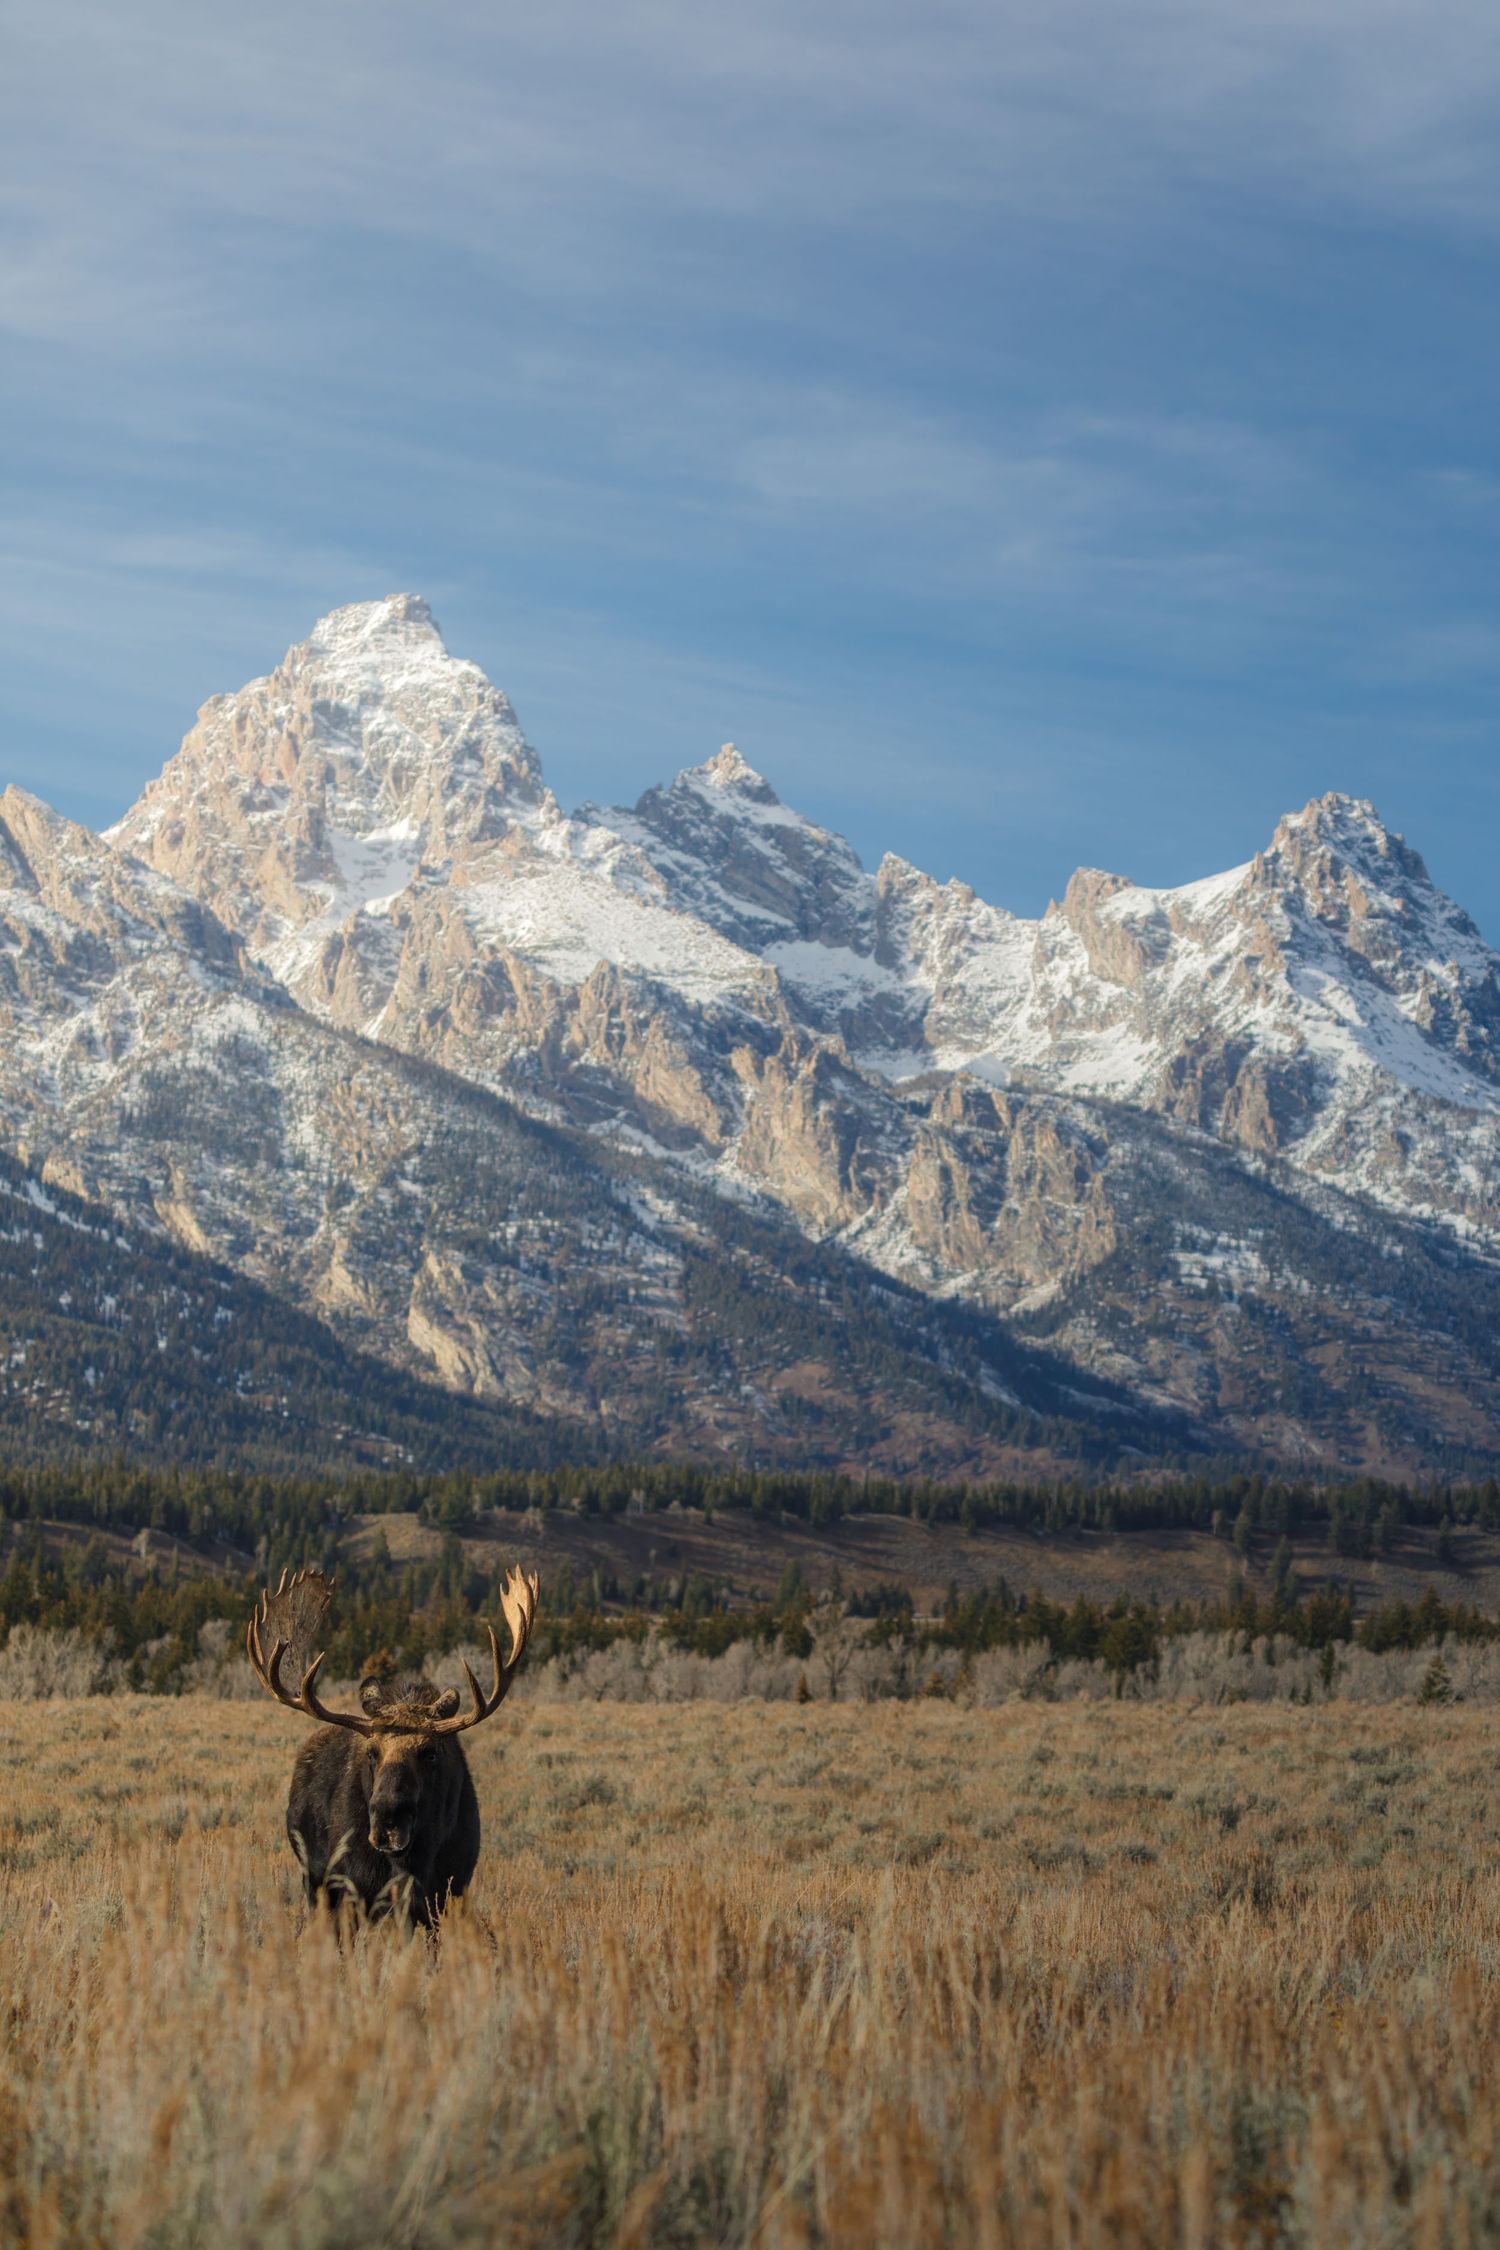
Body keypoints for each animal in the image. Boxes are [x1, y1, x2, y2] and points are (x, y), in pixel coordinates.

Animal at [247, 1562, 539, 1928]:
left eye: (430, 1752)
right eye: (372, 1752)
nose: (387, 1821)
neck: (413, 1862)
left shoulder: (447, 1894)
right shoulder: (356, 1891)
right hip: (316, 1882)